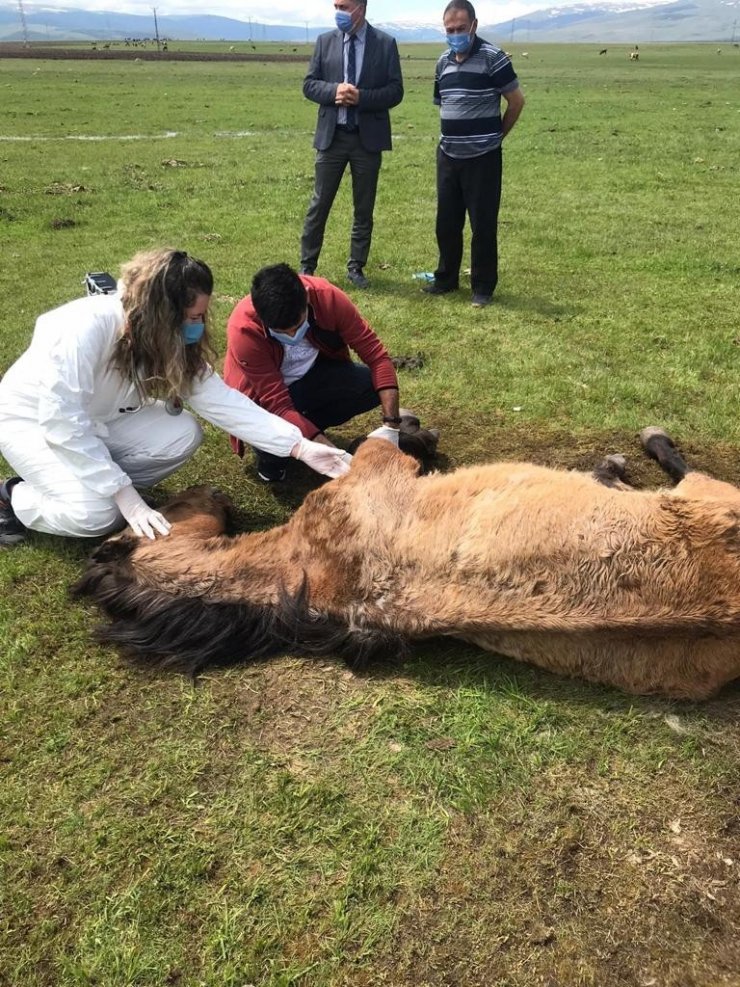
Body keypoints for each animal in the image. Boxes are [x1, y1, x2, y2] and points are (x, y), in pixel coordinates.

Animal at [72, 428, 740, 700]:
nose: (209, 493)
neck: (301, 570)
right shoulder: (374, 468)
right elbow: (389, 438)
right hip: (710, 492)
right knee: (678, 466)